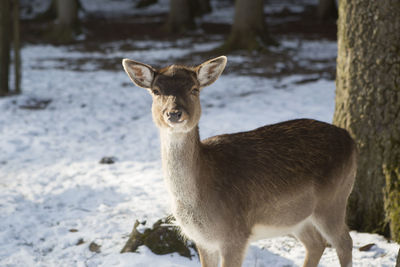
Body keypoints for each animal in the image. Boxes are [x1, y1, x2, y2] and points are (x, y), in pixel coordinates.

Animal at [122, 56, 356, 267]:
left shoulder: (235, 235)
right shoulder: (202, 241)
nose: (174, 113)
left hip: (333, 200)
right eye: (156, 91)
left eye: (194, 89)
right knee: (315, 244)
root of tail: (351, 140)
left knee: (344, 242)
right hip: (297, 216)